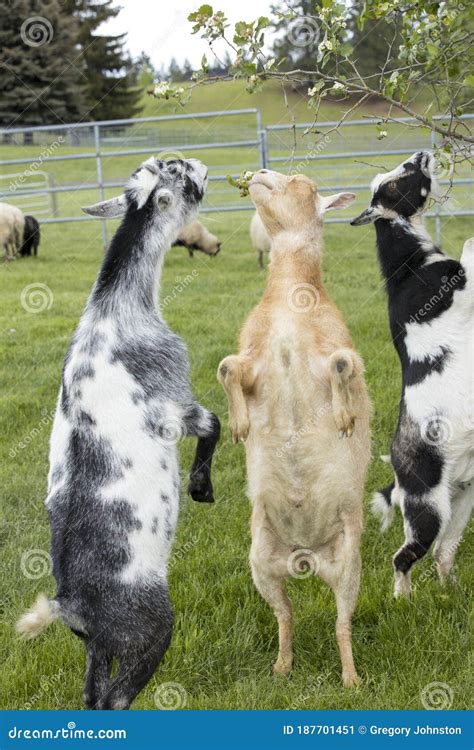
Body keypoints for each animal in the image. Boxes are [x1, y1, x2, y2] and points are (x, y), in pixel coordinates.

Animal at [16, 157, 220, 712]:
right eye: (179, 172)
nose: (203, 165)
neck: (115, 308)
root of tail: (70, 606)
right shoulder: (175, 399)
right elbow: (214, 425)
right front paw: (201, 488)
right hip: (147, 628)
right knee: (115, 700)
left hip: (98, 646)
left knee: (92, 696)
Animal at [218, 169, 370, 688]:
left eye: (303, 181)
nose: (259, 175)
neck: (290, 298)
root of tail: (305, 556)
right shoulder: (252, 357)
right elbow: (227, 368)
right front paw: (240, 425)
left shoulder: (335, 350)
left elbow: (344, 365)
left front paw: (344, 417)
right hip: (260, 561)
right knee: (285, 614)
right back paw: (282, 666)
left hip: (349, 565)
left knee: (342, 623)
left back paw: (351, 678)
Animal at [350, 151, 472, 600]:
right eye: (398, 179)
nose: (421, 155)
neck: (410, 265)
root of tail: (398, 475)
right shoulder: (457, 287)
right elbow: (471, 251)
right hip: (427, 510)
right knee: (402, 557)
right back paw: (402, 600)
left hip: (460, 503)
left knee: (443, 553)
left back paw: (450, 591)